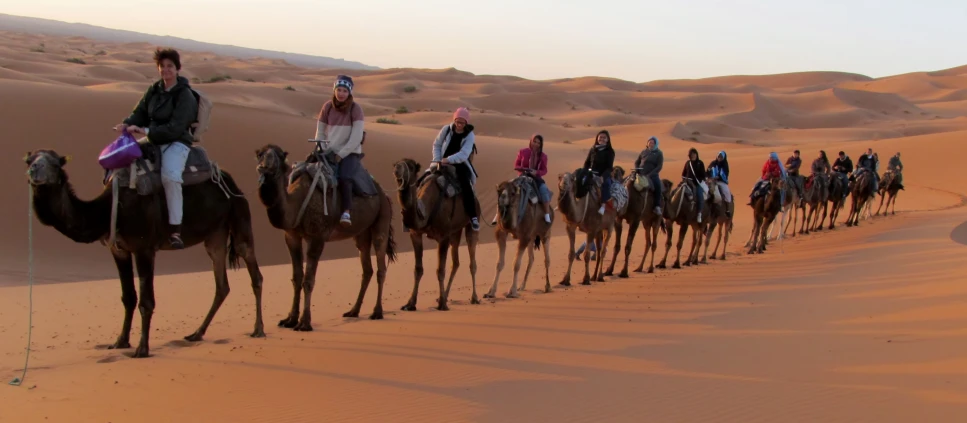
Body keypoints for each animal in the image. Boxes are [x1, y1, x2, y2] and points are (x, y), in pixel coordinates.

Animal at [24, 147, 264, 360]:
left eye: (55, 164)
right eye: (29, 161)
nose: (34, 170)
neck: (108, 209)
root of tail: (228, 180)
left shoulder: (144, 248)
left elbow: (146, 301)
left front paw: (142, 349)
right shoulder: (118, 250)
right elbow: (128, 297)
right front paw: (120, 341)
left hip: (239, 215)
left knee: (254, 272)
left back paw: (258, 329)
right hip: (215, 234)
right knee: (222, 284)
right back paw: (197, 333)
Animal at [255, 146, 398, 332]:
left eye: (278, 156)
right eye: (259, 154)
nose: (263, 167)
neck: (296, 202)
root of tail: (384, 194)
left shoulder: (317, 237)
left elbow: (308, 281)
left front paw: (304, 323)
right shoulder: (291, 236)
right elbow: (296, 278)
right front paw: (290, 319)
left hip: (382, 219)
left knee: (381, 266)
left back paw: (377, 312)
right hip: (361, 232)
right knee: (367, 268)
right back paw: (354, 310)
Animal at [394, 159, 480, 312]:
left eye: (411, 167)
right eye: (396, 164)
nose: (397, 170)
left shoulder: (443, 236)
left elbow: (440, 270)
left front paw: (442, 305)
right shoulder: (415, 234)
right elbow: (418, 269)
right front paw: (410, 303)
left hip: (471, 224)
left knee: (472, 262)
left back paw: (474, 298)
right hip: (455, 231)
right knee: (456, 262)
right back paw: (444, 296)